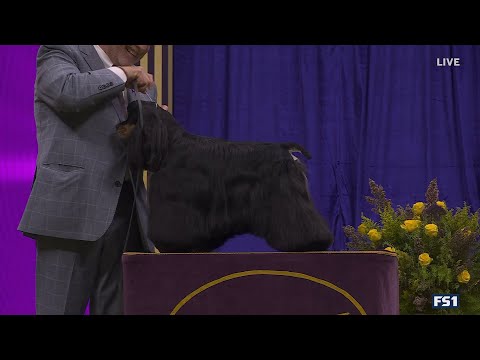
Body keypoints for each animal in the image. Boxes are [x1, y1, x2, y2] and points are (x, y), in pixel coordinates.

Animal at [117, 100, 334, 253]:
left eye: (130, 117)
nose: (117, 126)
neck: (171, 144)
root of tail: (285, 150)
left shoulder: (176, 202)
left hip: (287, 196)